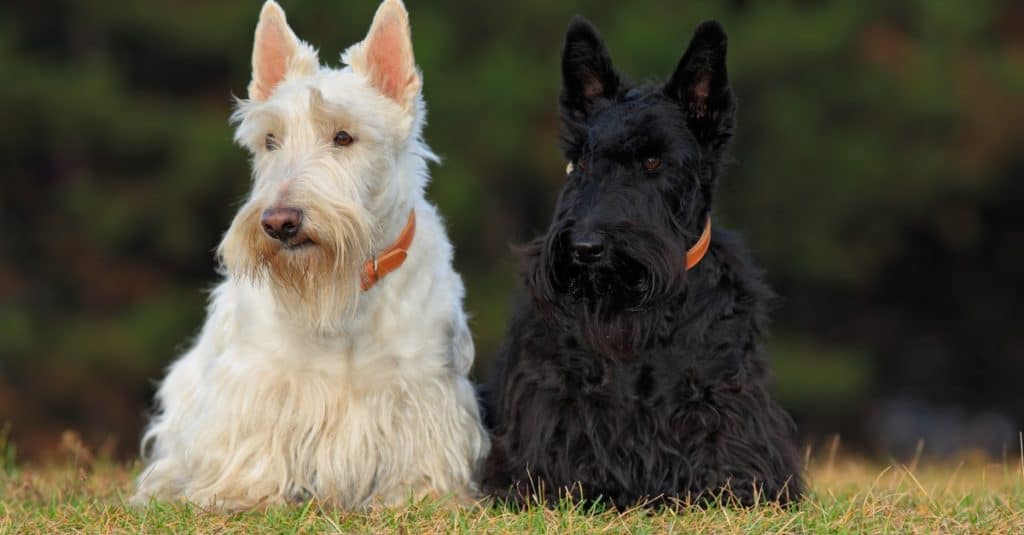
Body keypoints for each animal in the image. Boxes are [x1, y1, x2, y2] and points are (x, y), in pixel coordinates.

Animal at [131, 0, 487, 508]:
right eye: (270, 141)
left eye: (343, 137)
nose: (279, 223)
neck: (346, 292)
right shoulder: (257, 378)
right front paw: (241, 492)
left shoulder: (423, 383)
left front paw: (418, 492)